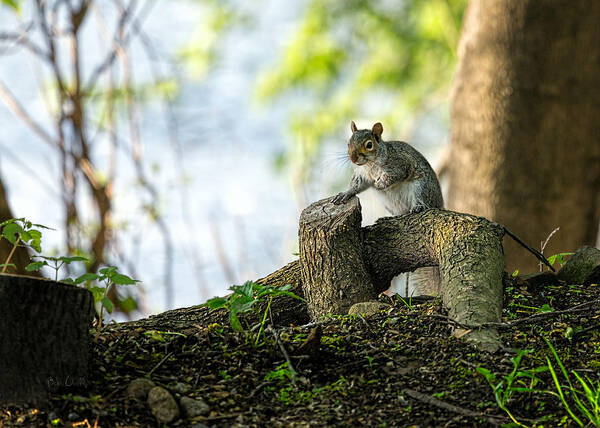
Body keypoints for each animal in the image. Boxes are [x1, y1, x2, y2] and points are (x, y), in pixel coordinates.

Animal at [332, 120, 446, 294]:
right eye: (348, 143)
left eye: (369, 145)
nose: (353, 159)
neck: (370, 164)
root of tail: (440, 204)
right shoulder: (362, 176)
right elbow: (356, 186)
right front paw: (346, 193)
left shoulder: (399, 164)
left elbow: (394, 176)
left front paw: (380, 183)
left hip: (422, 187)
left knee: (423, 202)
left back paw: (418, 207)